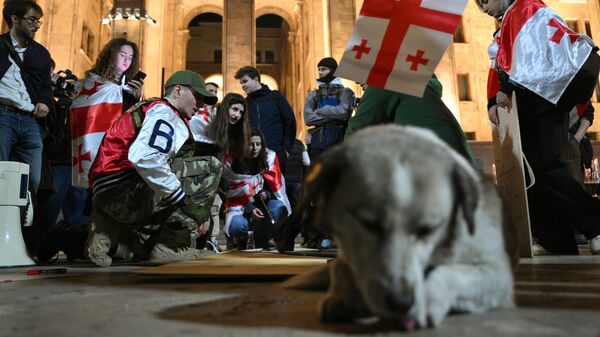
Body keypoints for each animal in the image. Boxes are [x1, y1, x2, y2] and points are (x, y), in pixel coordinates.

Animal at [284, 124, 516, 328]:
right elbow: (340, 267)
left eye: (428, 229)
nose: (400, 302)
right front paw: (342, 297)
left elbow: (451, 273)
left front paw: (427, 299)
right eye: (368, 223)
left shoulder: (498, 274)